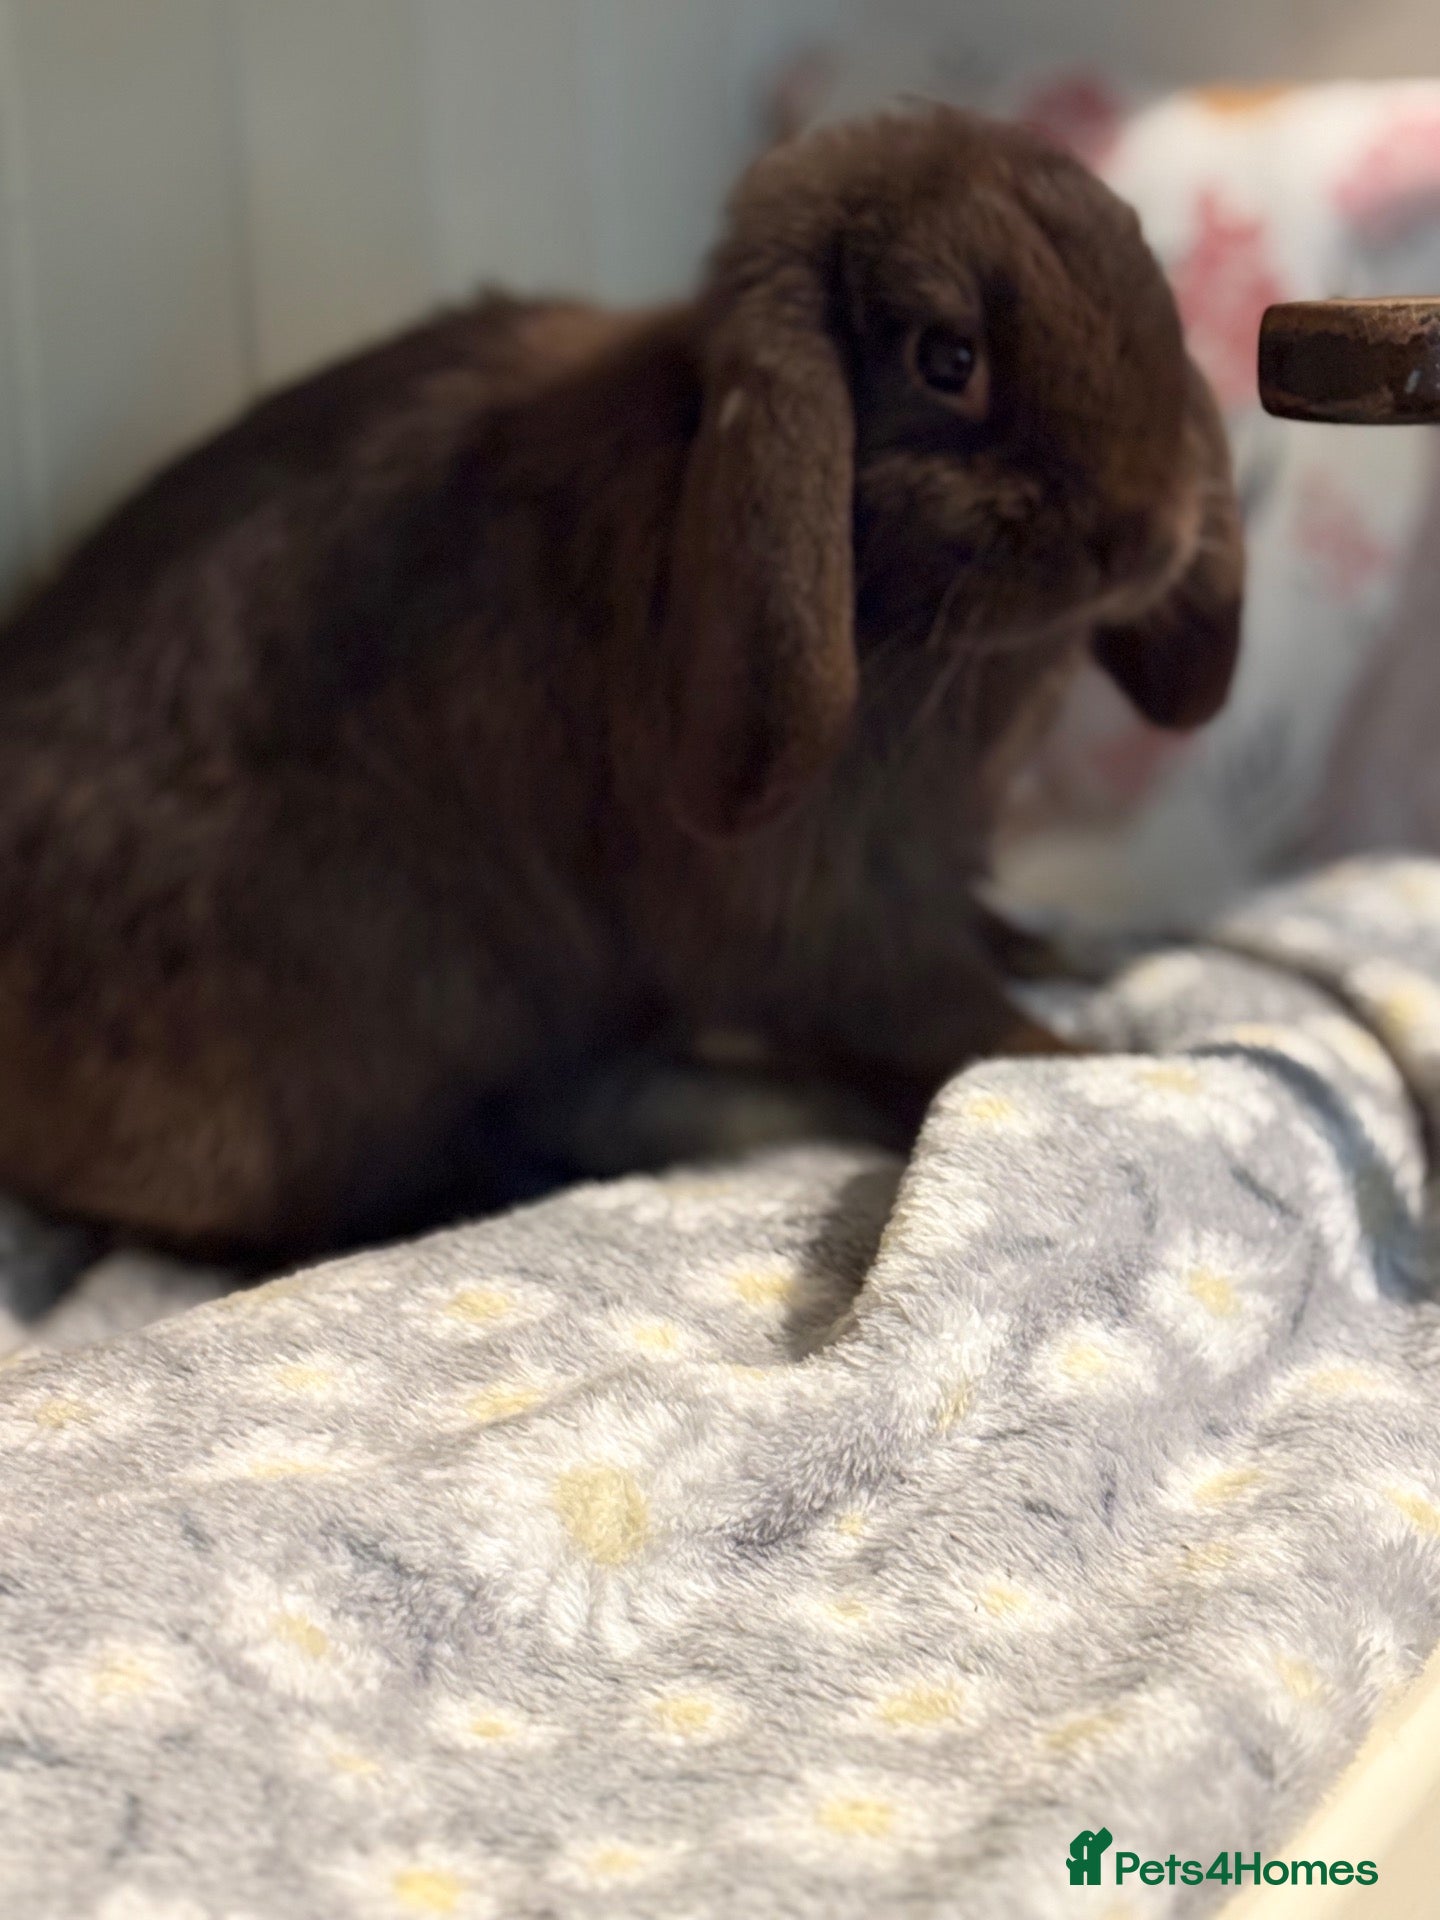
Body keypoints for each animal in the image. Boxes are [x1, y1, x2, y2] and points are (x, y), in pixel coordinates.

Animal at [0, 107, 1242, 1261]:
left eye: (1151, 273)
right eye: (948, 358)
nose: (1147, 529)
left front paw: (1047, 954)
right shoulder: (821, 905)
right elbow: (924, 1013)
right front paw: (1080, 1059)